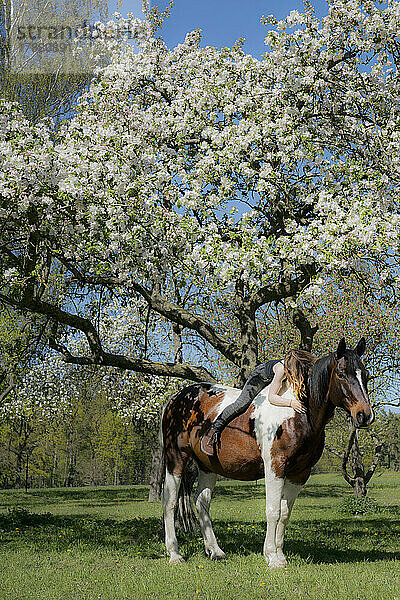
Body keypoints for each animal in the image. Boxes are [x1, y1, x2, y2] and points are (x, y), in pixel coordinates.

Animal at [161, 338, 374, 568]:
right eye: (342, 373)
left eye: (365, 374)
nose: (364, 416)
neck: (298, 414)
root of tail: (176, 399)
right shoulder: (275, 467)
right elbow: (273, 511)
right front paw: (272, 557)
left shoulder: (300, 474)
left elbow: (285, 513)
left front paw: (280, 554)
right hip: (176, 459)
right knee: (170, 503)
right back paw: (174, 554)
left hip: (207, 467)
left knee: (202, 503)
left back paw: (215, 551)